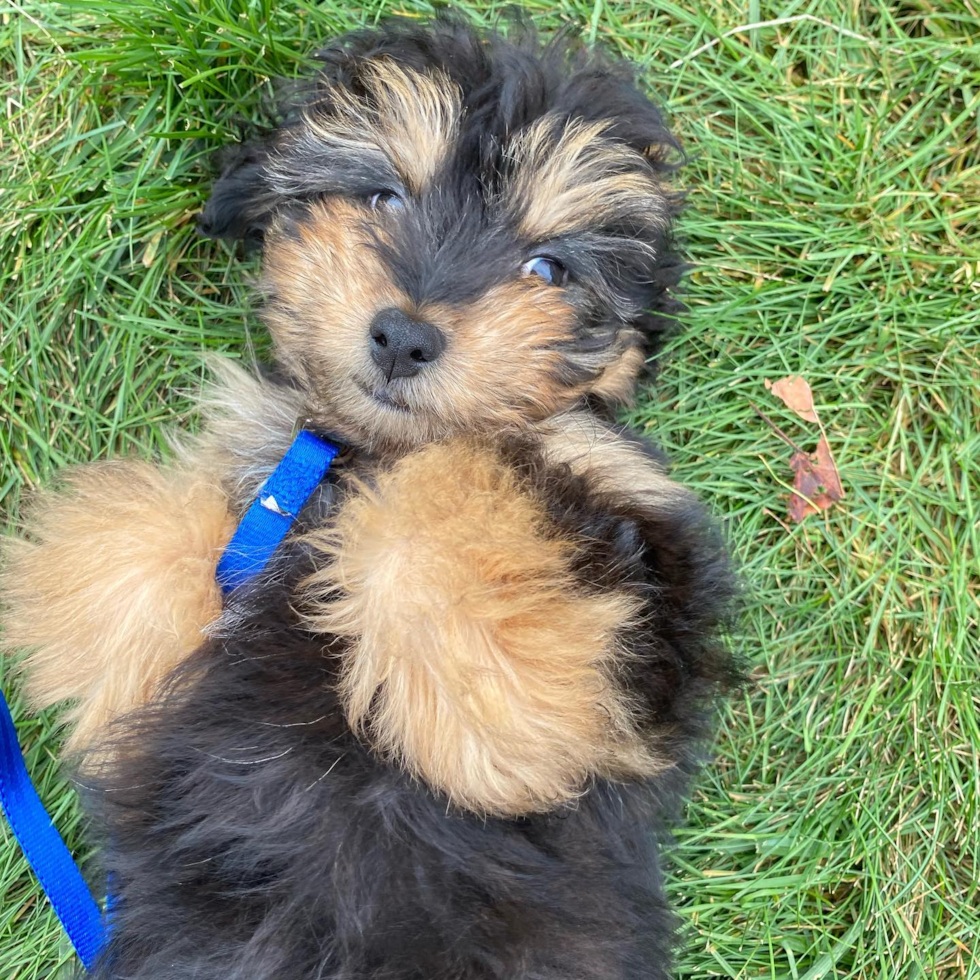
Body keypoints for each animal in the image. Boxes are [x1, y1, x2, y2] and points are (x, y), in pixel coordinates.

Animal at [0, 17, 736, 980]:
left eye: (548, 269)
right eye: (383, 196)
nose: (405, 336)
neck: (357, 451)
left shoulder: (650, 596)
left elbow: (450, 491)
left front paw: (482, 730)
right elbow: (151, 548)